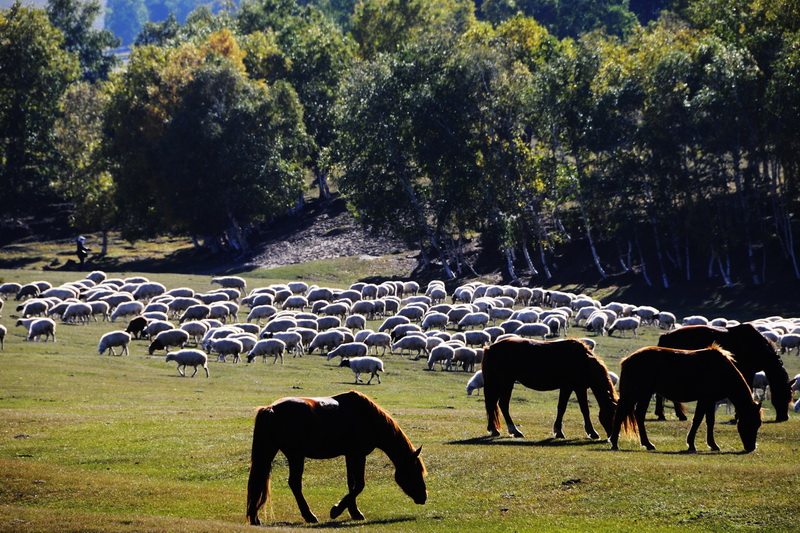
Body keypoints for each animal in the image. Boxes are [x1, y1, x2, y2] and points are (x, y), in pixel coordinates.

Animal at [247, 388, 428, 524]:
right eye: (416, 472)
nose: (424, 497)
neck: (367, 417)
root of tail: (271, 409)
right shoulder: (358, 454)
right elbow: (359, 485)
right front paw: (337, 510)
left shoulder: (350, 455)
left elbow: (351, 484)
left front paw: (354, 512)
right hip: (296, 456)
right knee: (294, 483)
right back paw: (309, 516)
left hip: (271, 453)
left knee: (260, 480)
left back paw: (255, 517)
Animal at [482, 338, 620, 438]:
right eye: (613, 416)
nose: (612, 437)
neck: (582, 361)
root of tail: (491, 348)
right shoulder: (569, 387)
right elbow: (565, 408)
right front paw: (560, 432)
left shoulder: (579, 388)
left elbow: (582, 409)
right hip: (506, 383)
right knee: (503, 404)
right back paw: (514, 430)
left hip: (497, 384)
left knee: (492, 403)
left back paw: (494, 429)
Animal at [612, 344, 764, 454]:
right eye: (752, 423)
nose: (752, 447)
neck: (721, 370)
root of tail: (627, 360)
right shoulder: (705, 399)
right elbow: (697, 420)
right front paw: (692, 444)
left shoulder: (710, 401)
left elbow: (710, 421)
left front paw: (712, 444)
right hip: (641, 394)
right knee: (631, 414)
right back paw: (632, 444)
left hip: (637, 394)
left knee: (629, 414)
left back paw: (628, 443)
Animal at [656, 322, 792, 422]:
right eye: (784, 396)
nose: (784, 418)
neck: (756, 346)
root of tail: (665, 336)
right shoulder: (746, 372)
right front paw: (738, 416)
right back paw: (668, 415)